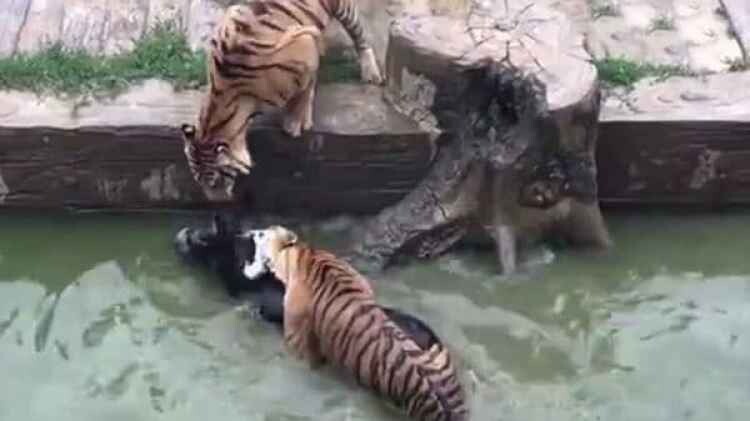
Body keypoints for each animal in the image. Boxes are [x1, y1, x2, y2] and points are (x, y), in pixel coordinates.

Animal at [180, 0, 384, 201]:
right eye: (199, 180)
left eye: (215, 182)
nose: (216, 201)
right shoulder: (235, 13)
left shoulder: (306, 42)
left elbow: (306, 87)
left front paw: (296, 120)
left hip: (344, 10)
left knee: (359, 35)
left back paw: (371, 72)